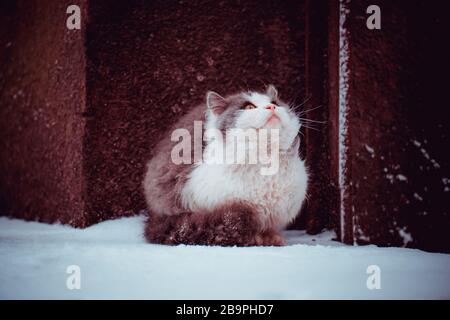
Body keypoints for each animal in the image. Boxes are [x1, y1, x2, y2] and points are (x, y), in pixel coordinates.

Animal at [142, 84, 308, 245]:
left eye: (275, 103)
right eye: (249, 107)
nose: (271, 107)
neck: (265, 157)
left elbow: (268, 229)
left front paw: (271, 238)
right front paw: (256, 239)